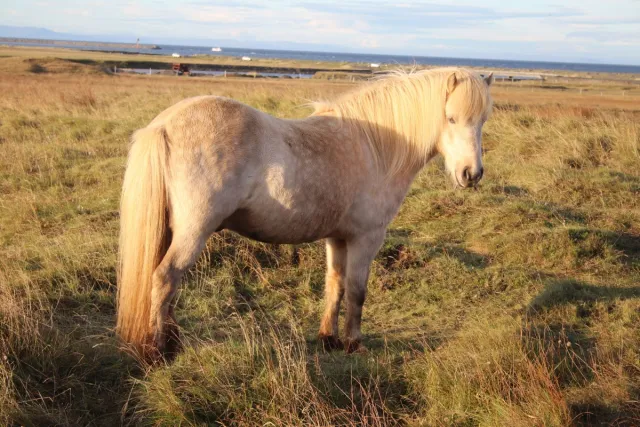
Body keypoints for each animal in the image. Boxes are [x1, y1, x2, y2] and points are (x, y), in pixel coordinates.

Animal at [116, 67, 494, 361]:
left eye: (482, 120)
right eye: (450, 118)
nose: (471, 174)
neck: (373, 146)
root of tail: (164, 124)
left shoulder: (338, 238)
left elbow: (335, 284)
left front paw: (329, 338)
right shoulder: (366, 238)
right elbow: (357, 290)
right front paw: (354, 343)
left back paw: (173, 341)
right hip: (194, 230)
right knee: (165, 278)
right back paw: (159, 351)